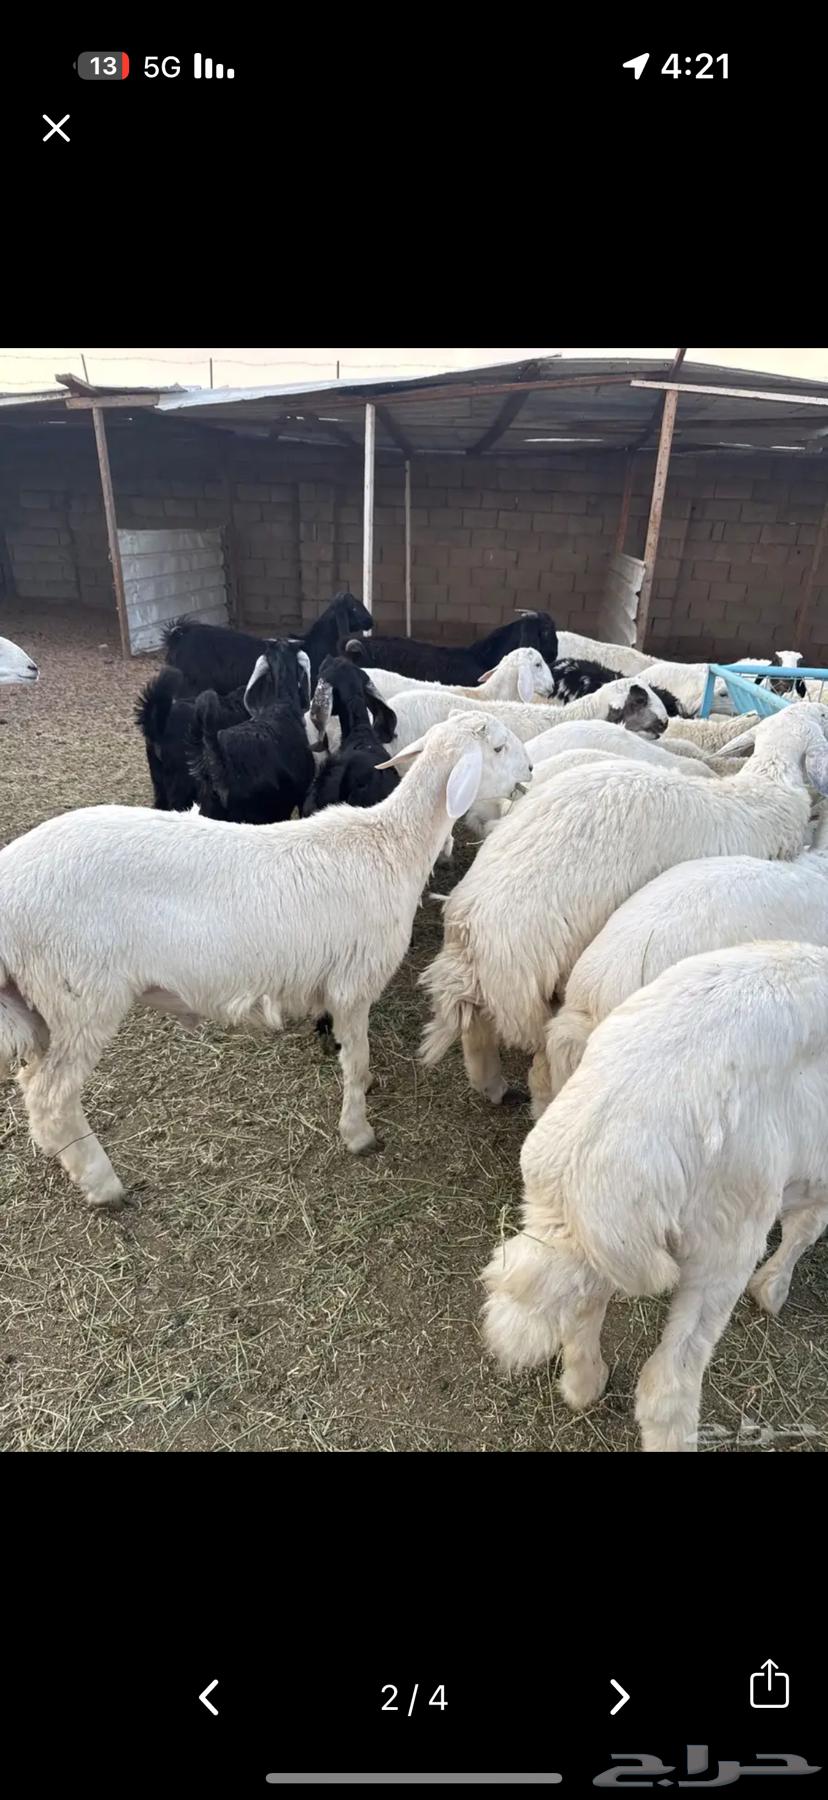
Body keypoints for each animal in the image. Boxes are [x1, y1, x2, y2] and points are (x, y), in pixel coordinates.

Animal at [0, 712, 531, 1200]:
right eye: (498, 748)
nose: (530, 767)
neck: (391, 844)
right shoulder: (353, 983)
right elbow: (356, 1061)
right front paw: (358, 1133)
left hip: (44, 1004)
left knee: (33, 1083)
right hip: (80, 993)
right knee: (51, 1097)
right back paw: (103, 1183)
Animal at [481, 940, 828, 1451]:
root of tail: (583, 1162)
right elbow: (808, 1226)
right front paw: (772, 1289)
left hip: (607, 1244)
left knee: (584, 1305)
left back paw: (585, 1383)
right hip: (726, 1233)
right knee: (667, 1382)